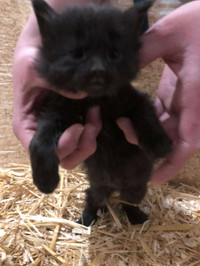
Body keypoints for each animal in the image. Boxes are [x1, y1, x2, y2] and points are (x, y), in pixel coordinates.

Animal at [29, 0, 172, 225]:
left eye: (114, 54)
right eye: (78, 54)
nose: (98, 70)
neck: (96, 99)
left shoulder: (134, 99)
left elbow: (146, 115)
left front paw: (158, 143)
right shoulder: (57, 111)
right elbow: (39, 141)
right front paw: (45, 179)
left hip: (136, 187)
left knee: (128, 202)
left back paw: (135, 216)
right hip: (99, 186)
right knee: (93, 198)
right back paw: (87, 218)